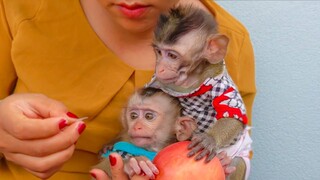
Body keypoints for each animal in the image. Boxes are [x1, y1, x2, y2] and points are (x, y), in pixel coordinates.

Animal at [148, 5, 252, 180]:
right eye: (159, 52)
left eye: (172, 55)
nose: (160, 68)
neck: (191, 80)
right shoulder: (157, 81)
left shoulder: (221, 84)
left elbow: (232, 112)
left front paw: (209, 140)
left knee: (238, 162)